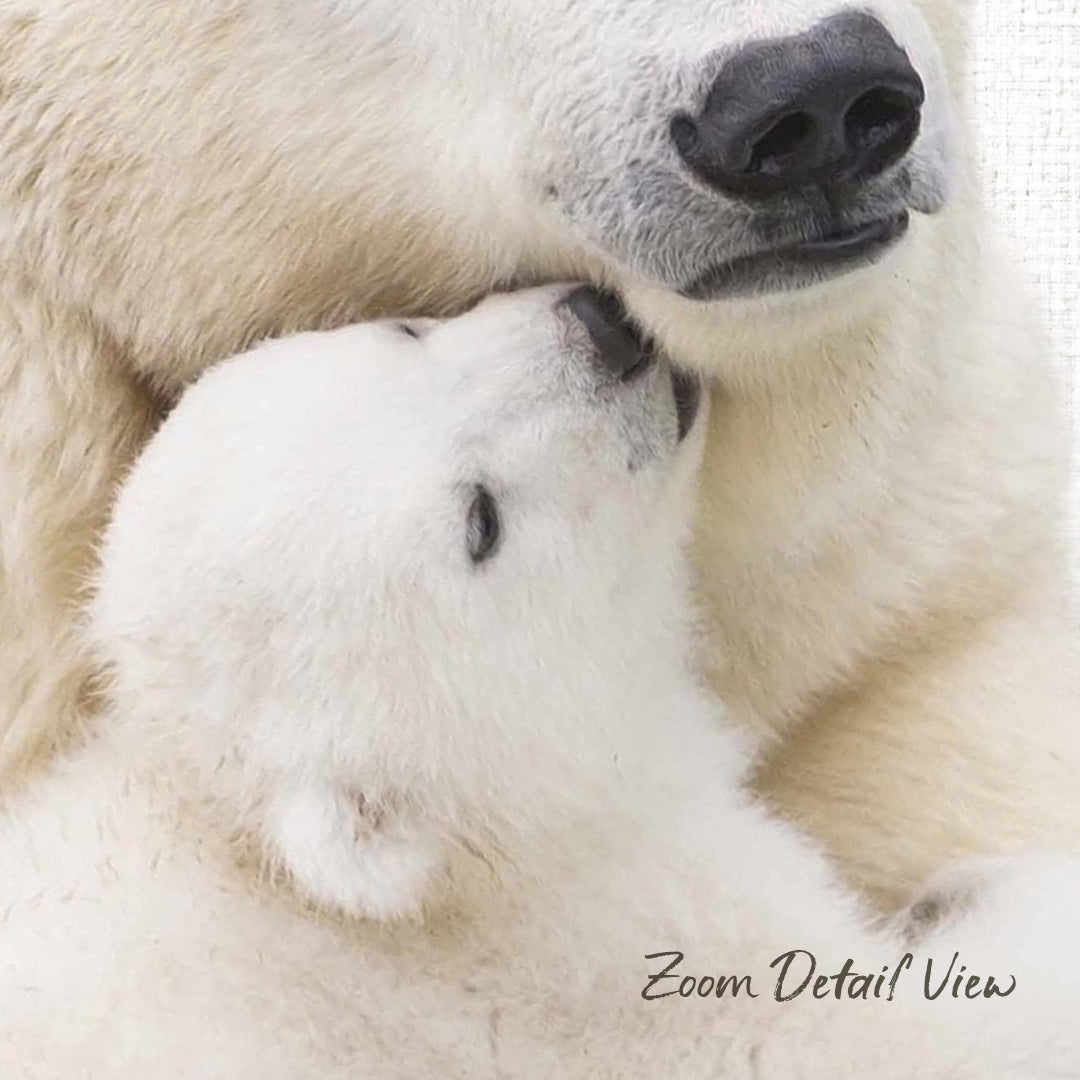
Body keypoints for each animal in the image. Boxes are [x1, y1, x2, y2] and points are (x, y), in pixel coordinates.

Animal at [3, 285, 1079, 1077]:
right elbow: (898, 1038)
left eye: (405, 328)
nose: (604, 328)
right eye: (481, 522)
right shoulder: (601, 961)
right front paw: (989, 897)